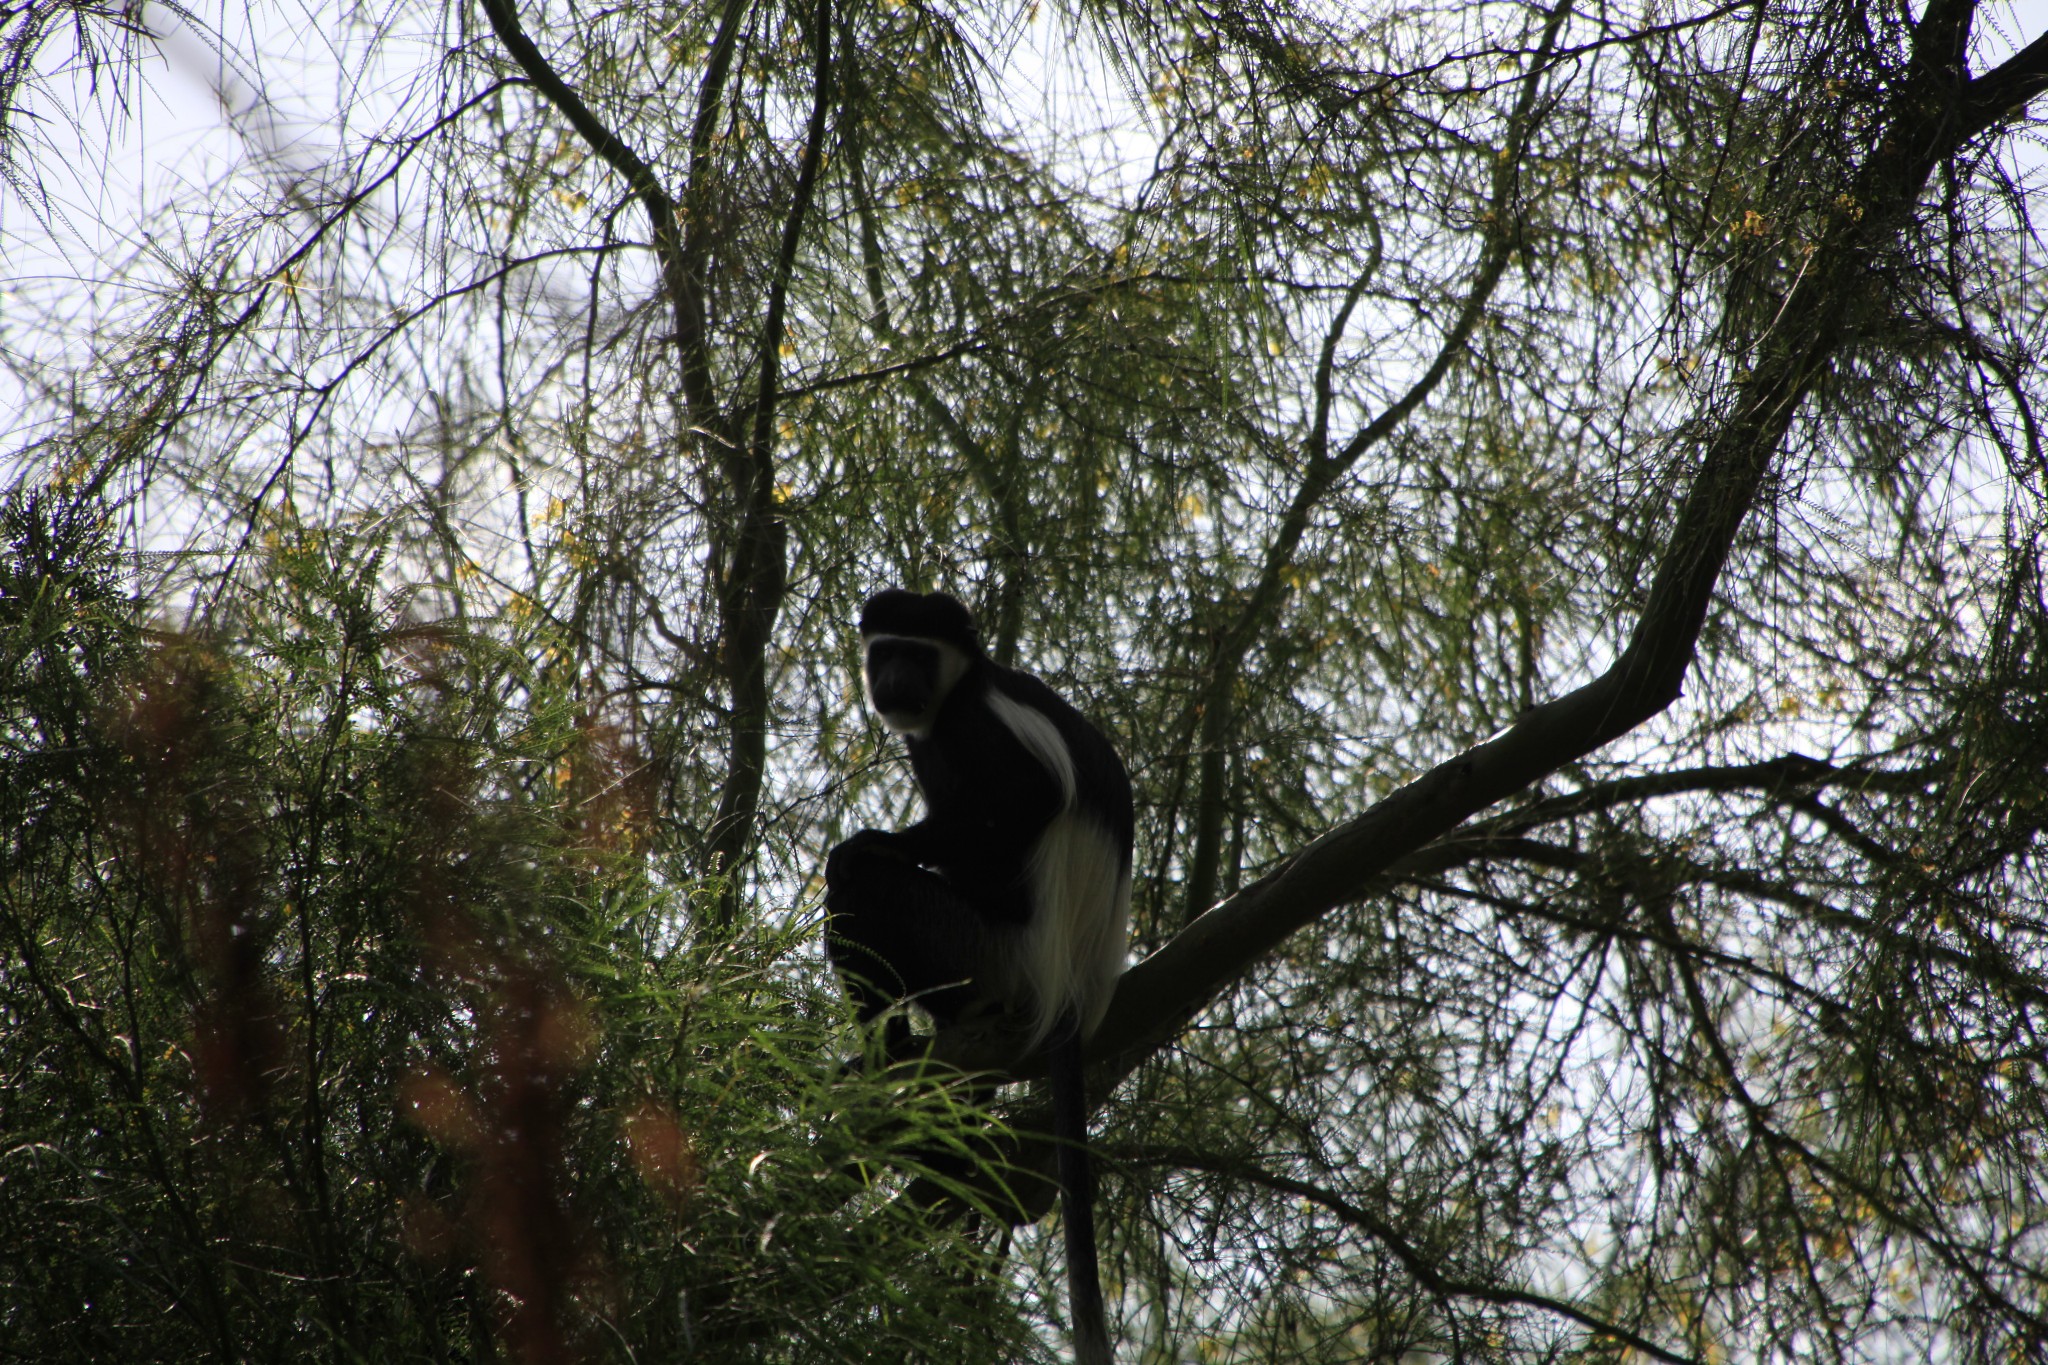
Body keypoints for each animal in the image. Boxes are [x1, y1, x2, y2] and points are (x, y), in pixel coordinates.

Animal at [823, 589, 1130, 1365]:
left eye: (917, 653)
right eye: (884, 651)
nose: (893, 680)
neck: (959, 689)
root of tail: (1072, 991)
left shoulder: (978, 725)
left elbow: (1025, 802)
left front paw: (875, 840)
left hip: (985, 951)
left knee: (867, 888)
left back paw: (892, 1051)